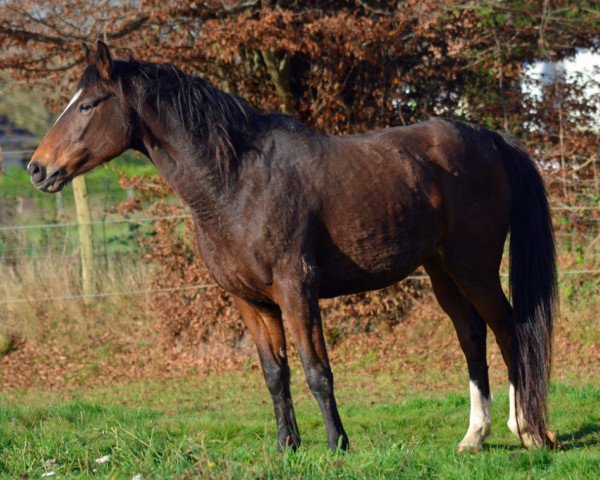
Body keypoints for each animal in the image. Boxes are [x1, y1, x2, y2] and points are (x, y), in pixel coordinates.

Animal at [28, 40, 556, 450]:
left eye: (88, 105)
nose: (37, 168)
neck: (237, 183)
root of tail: (490, 139)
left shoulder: (296, 290)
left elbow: (316, 370)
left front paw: (338, 444)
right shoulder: (251, 301)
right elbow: (275, 374)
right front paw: (288, 446)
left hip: (474, 267)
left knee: (508, 329)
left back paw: (529, 430)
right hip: (441, 269)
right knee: (471, 335)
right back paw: (475, 436)